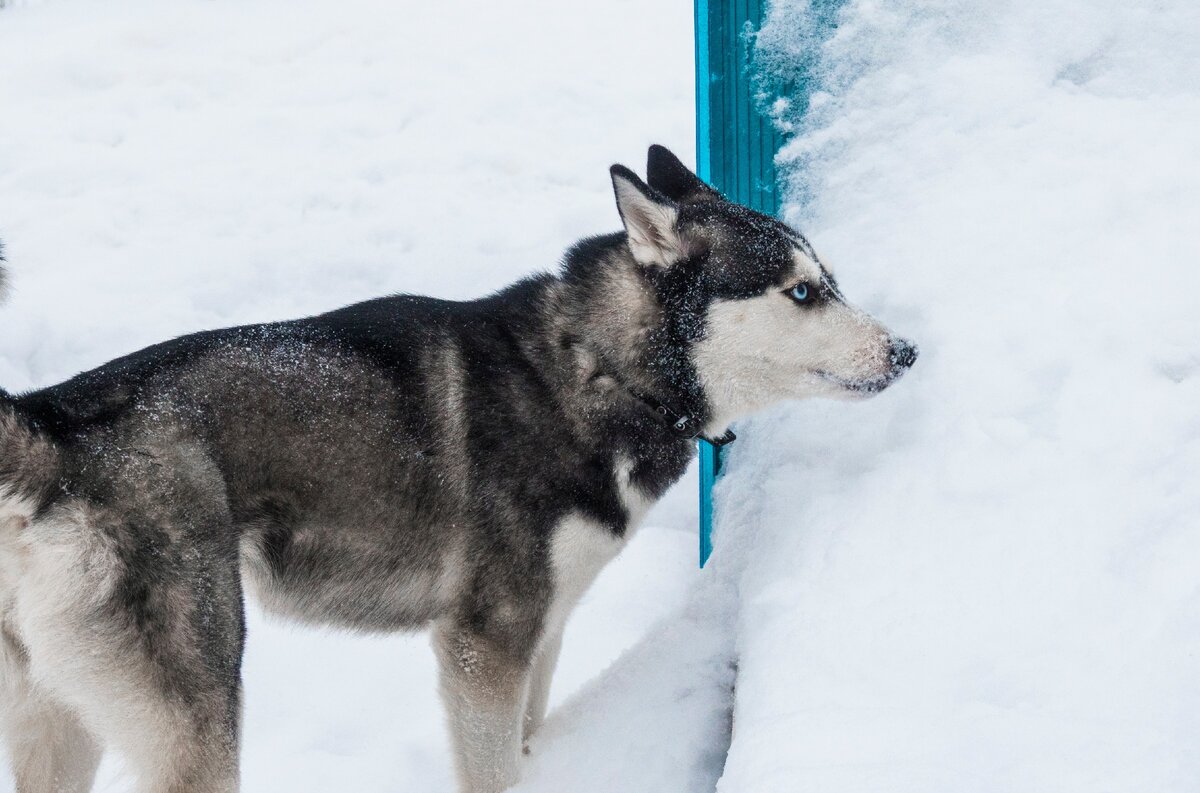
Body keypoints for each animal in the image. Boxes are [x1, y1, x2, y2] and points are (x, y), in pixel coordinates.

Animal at [2, 146, 916, 791]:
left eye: (828, 280)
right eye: (801, 292)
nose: (907, 351)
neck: (596, 366)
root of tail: (50, 424)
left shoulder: (541, 636)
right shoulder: (485, 644)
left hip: (62, 717)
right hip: (196, 706)